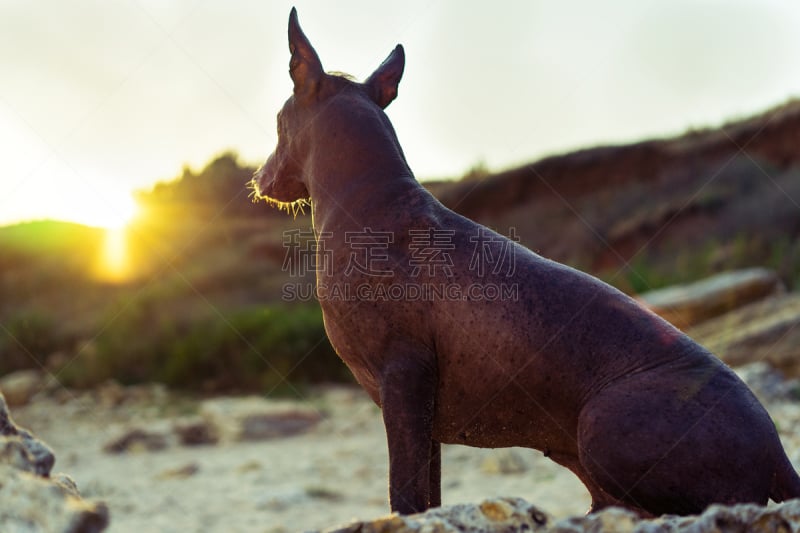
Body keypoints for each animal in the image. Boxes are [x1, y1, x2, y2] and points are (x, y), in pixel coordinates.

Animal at [252, 7, 800, 516]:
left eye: (277, 122)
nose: (258, 177)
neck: (374, 203)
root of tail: (778, 453)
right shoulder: (423, 414)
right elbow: (430, 496)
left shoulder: (403, 378)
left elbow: (404, 497)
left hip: (601, 427)